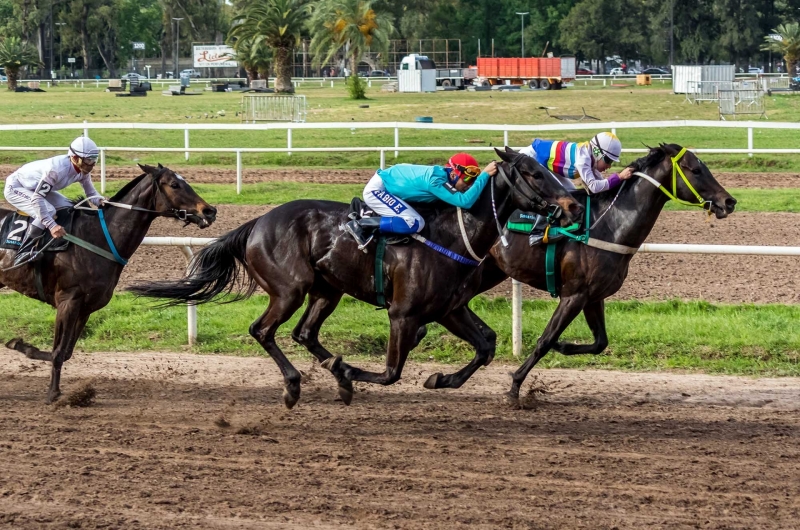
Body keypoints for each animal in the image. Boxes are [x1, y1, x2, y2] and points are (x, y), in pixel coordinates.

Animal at [0, 165, 216, 400]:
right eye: (175, 184)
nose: (210, 211)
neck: (98, 237)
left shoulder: (85, 308)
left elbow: (66, 352)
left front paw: (22, 346)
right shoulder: (68, 301)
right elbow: (58, 352)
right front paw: (53, 393)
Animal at [130, 148, 580, 408]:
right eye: (533, 173)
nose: (574, 204)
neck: (454, 233)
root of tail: (256, 222)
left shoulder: (448, 309)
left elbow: (485, 346)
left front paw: (440, 378)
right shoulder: (403, 314)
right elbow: (392, 372)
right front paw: (348, 372)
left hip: (326, 291)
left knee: (305, 333)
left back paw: (329, 374)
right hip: (289, 290)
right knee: (263, 330)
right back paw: (295, 385)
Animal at [424, 142, 736, 402]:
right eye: (696, 170)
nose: (729, 202)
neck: (609, 224)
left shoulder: (594, 296)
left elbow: (600, 342)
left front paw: (564, 347)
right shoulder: (574, 294)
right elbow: (545, 340)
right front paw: (515, 385)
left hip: (488, 272)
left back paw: (445, 374)